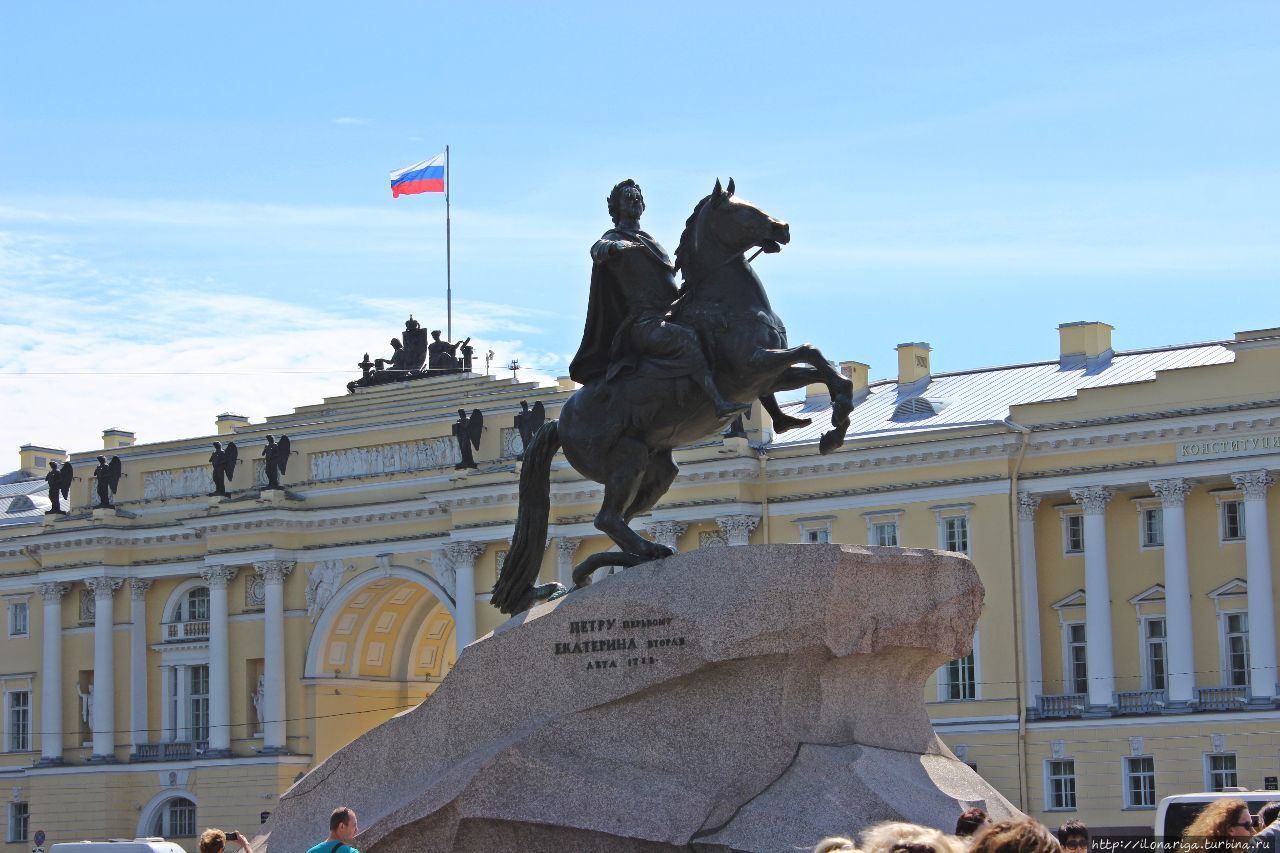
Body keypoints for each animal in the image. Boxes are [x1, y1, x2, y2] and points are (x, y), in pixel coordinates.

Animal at [494, 178, 855, 612]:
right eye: (742, 211)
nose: (782, 228)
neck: (724, 301)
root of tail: (558, 424)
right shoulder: (753, 367)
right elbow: (811, 352)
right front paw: (832, 427)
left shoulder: (768, 376)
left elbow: (825, 369)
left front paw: (832, 427)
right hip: (628, 459)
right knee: (606, 519)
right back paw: (643, 554)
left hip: (658, 472)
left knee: (619, 519)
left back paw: (630, 558)